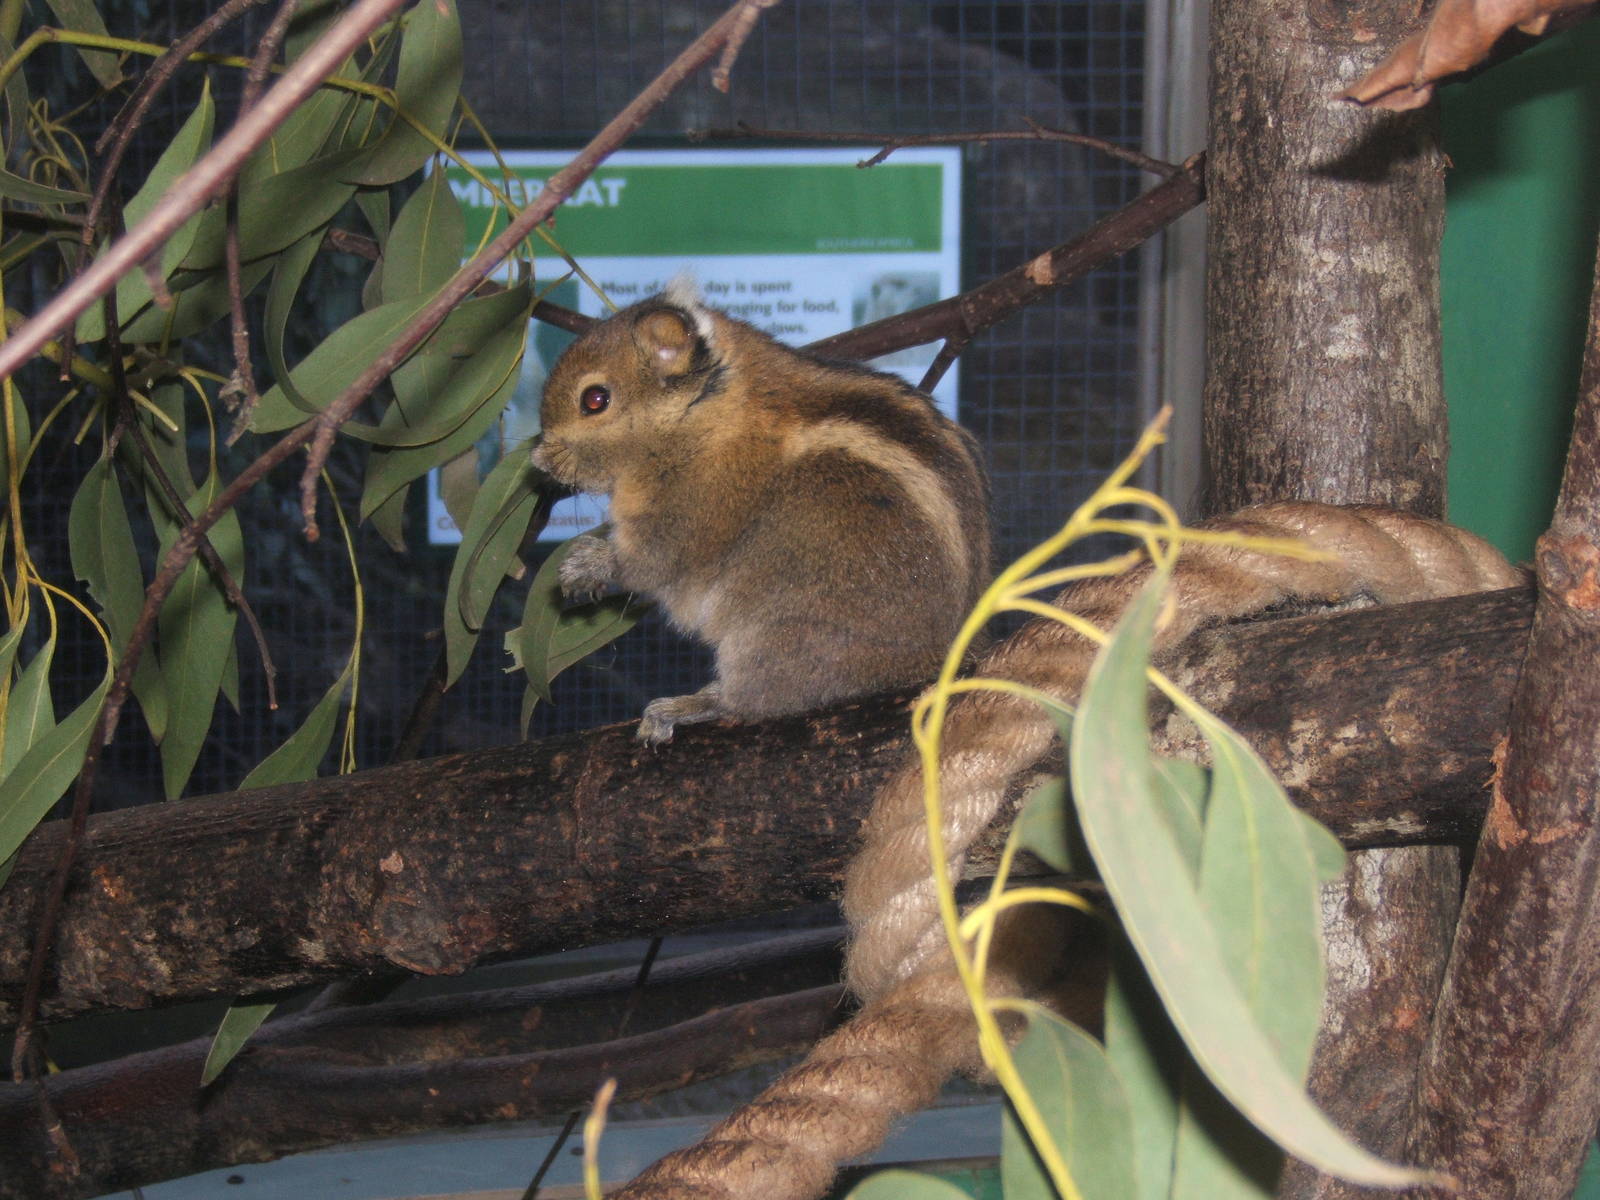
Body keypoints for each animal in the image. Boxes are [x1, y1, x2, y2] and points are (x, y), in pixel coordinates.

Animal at [529, 280, 991, 743]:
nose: (539, 461)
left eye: (595, 399)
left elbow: (647, 564)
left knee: (754, 701)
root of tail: (938, 659)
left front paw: (584, 564)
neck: (704, 414)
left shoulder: (690, 510)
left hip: (779, 636)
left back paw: (690, 705)